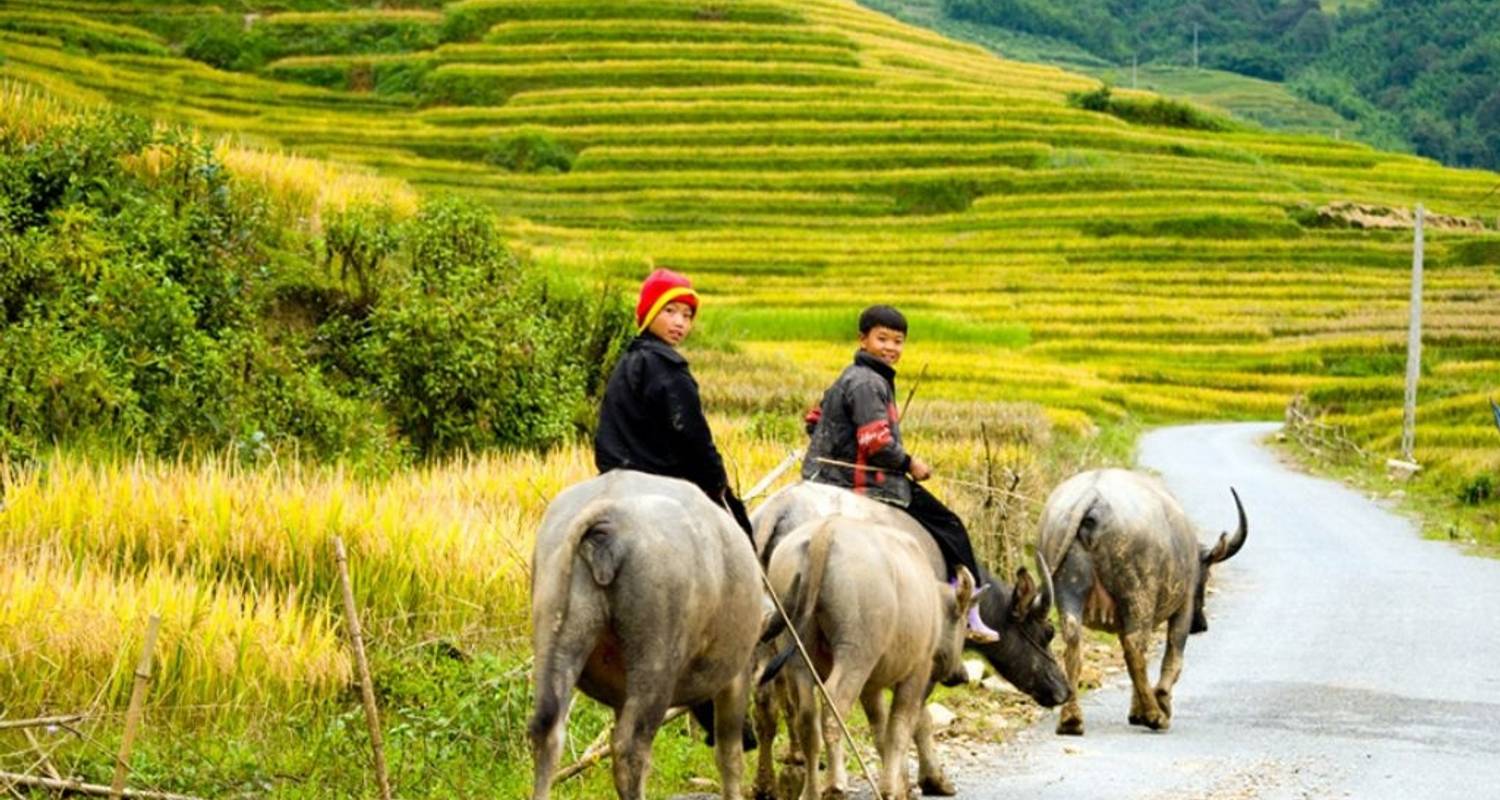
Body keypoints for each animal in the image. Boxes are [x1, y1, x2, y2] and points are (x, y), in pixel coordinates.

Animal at [528, 471, 762, 792]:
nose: (752, 739)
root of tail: (608, 510)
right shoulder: (736, 673)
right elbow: (730, 756)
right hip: (657, 660)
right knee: (631, 747)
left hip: (556, 629)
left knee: (548, 733)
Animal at [774, 513, 972, 792]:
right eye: (964, 624)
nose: (961, 674)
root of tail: (826, 530)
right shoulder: (918, 671)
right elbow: (900, 726)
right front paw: (892, 789)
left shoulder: (872, 685)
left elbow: (880, 729)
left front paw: (900, 785)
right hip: (856, 655)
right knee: (834, 705)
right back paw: (835, 784)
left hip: (796, 654)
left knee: (806, 717)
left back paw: (811, 791)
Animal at [1038, 468, 1248, 735]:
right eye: (1207, 575)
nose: (1201, 625)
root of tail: (1093, 497)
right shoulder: (1183, 608)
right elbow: (1173, 657)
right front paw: (1160, 702)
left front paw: (1136, 710)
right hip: (1138, 596)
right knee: (1136, 647)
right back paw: (1154, 715)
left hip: (1069, 588)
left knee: (1074, 640)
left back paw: (1071, 720)